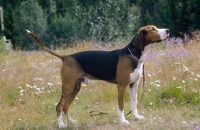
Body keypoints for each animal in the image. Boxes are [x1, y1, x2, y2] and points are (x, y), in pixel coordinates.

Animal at [26, 25, 170, 128]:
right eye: (152, 29)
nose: (168, 30)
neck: (134, 55)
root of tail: (66, 57)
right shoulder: (122, 86)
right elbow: (121, 107)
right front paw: (123, 121)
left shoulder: (134, 85)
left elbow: (134, 104)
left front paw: (137, 117)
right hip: (68, 87)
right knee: (59, 106)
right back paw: (61, 125)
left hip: (75, 87)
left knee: (66, 106)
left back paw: (71, 122)